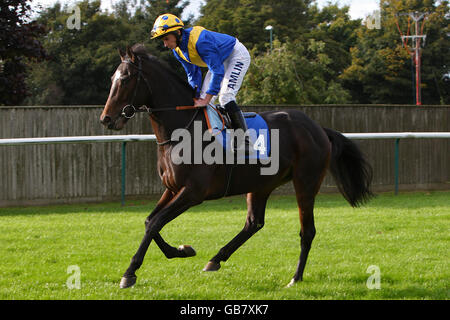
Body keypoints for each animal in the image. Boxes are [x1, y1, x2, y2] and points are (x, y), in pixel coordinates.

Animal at [100, 43, 374, 288]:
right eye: (111, 78)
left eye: (125, 79)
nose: (106, 119)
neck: (183, 130)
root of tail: (318, 128)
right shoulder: (172, 188)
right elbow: (149, 221)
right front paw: (183, 250)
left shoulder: (193, 192)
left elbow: (156, 223)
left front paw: (130, 273)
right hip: (262, 185)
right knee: (254, 223)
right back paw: (216, 259)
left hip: (305, 183)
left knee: (307, 231)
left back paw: (295, 278)